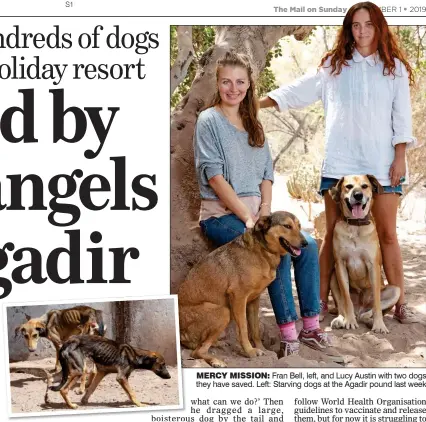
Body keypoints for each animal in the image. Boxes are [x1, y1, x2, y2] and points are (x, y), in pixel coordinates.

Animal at [178, 213, 308, 368]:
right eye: (287, 226)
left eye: (299, 226)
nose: (305, 243)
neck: (263, 251)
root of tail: (180, 333)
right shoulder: (238, 297)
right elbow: (244, 329)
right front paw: (250, 351)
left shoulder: (254, 300)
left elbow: (255, 329)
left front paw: (261, 348)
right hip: (224, 312)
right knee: (197, 352)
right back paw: (217, 361)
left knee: (200, 345)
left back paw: (218, 344)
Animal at [330, 175, 400, 332]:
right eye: (348, 186)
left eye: (365, 186)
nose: (358, 195)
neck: (356, 226)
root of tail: (359, 309)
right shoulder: (340, 265)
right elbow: (346, 300)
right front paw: (349, 321)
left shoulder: (373, 265)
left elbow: (377, 303)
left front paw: (379, 325)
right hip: (333, 277)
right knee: (342, 307)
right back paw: (341, 319)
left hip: (395, 290)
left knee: (367, 312)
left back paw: (369, 320)